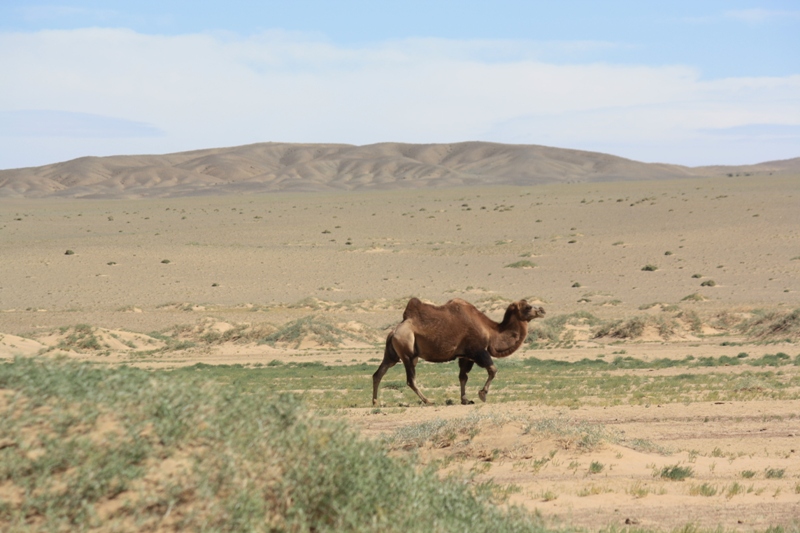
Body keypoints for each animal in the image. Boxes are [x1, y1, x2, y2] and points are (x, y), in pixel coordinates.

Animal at [374, 298, 548, 406]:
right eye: (527, 307)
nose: (542, 310)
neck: (491, 331)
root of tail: (394, 331)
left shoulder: (466, 356)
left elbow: (463, 377)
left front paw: (465, 400)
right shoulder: (478, 351)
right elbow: (492, 369)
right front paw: (482, 394)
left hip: (392, 354)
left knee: (379, 373)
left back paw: (375, 402)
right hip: (408, 352)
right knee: (411, 379)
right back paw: (429, 401)